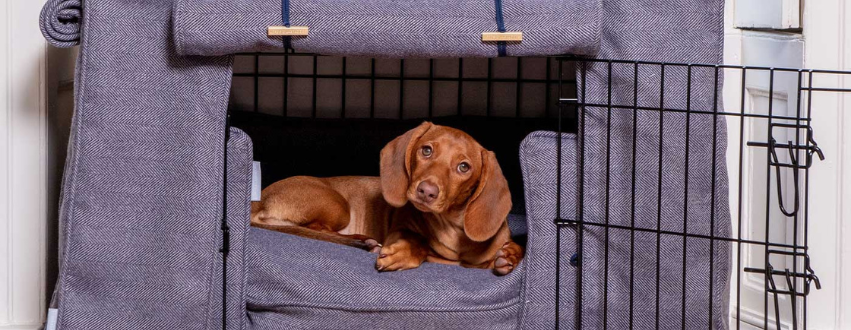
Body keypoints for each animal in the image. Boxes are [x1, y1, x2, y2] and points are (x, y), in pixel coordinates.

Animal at [250, 122, 524, 274]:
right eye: (426, 150)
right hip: (337, 205)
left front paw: (509, 256)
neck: (453, 228)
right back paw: (363, 240)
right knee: (317, 229)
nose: (426, 191)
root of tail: (258, 200)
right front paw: (402, 254)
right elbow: (419, 243)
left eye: (464, 167)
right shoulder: (401, 231)